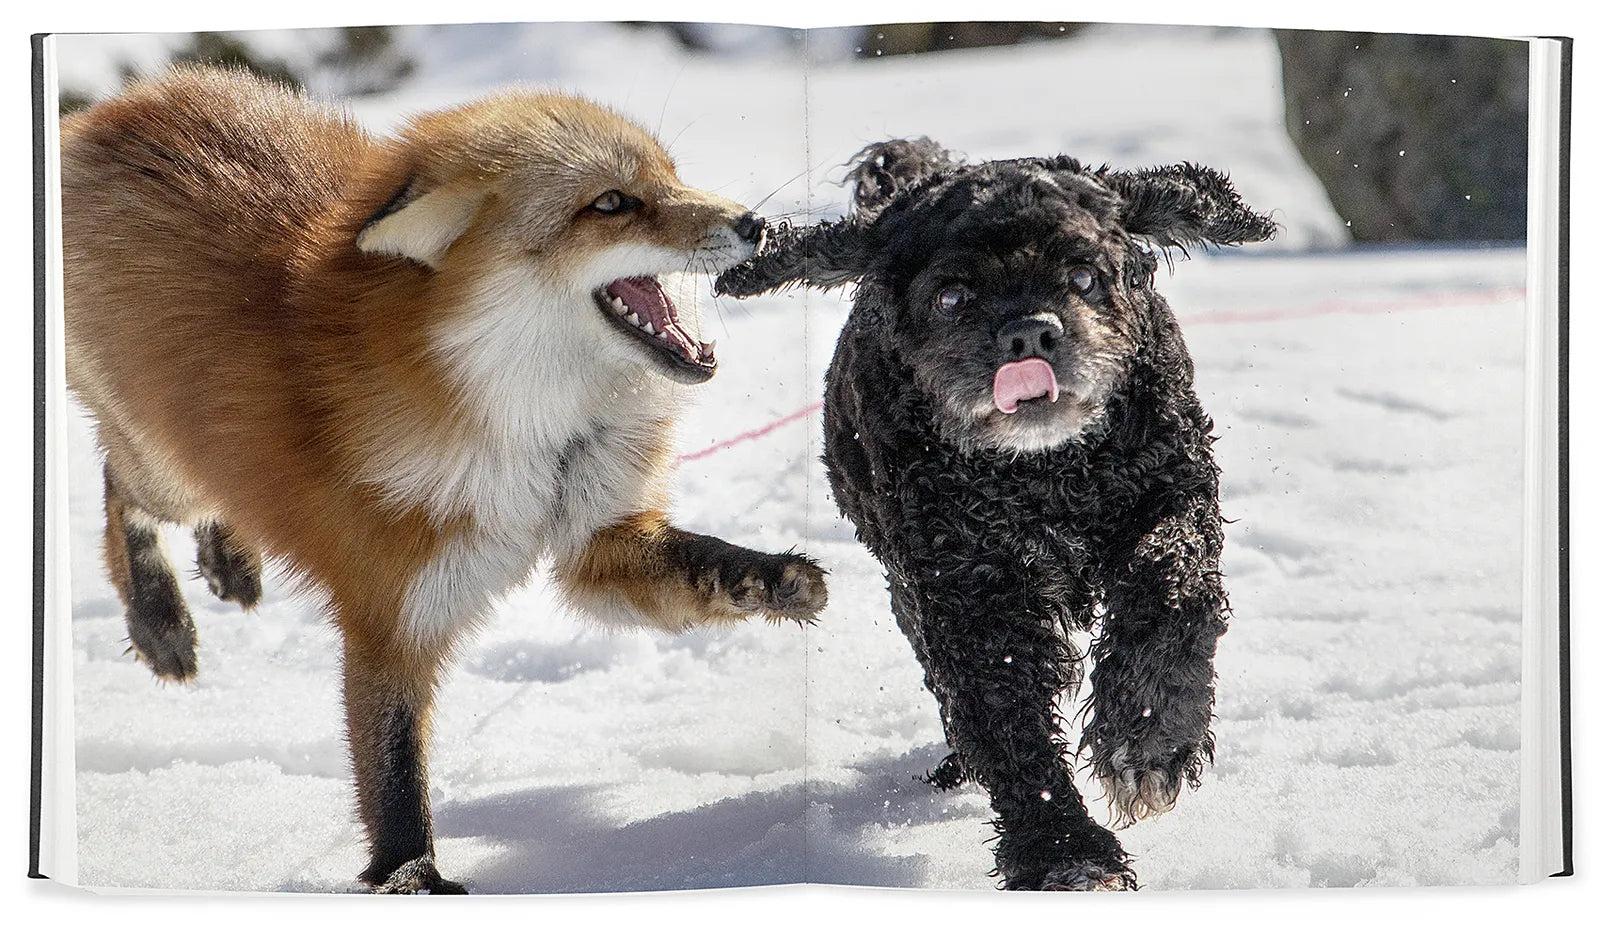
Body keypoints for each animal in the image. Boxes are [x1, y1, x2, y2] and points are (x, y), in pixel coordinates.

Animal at [61, 66, 828, 894]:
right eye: (612, 203)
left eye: (672, 175)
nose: (756, 223)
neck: (532, 436)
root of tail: (122, 106)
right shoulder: (390, 614)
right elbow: (396, 774)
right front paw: (412, 875)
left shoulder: (597, 541)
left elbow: (702, 566)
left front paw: (775, 578)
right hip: (167, 470)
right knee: (119, 483)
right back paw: (158, 617)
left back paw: (230, 560)